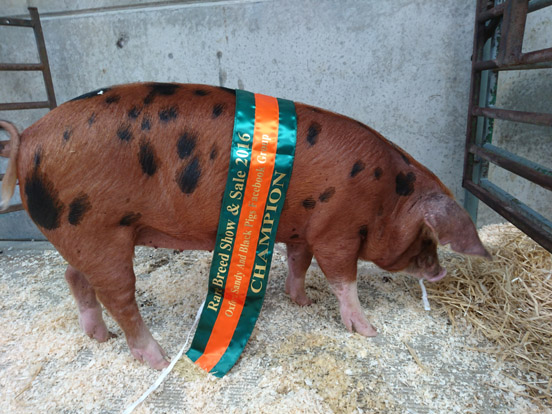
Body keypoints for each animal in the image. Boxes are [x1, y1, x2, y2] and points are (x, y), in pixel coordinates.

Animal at [0, 81, 492, 368]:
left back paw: (98, 338)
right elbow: (342, 277)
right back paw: (157, 358)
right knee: (118, 295)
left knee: (75, 276)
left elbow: (299, 262)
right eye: (427, 235)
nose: (440, 273)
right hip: (99, 231)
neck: (387, 193)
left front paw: (302, 303)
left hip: (83, 235)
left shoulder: (304, 227)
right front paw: (368, 331)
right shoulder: (336, 228)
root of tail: (27, 139)